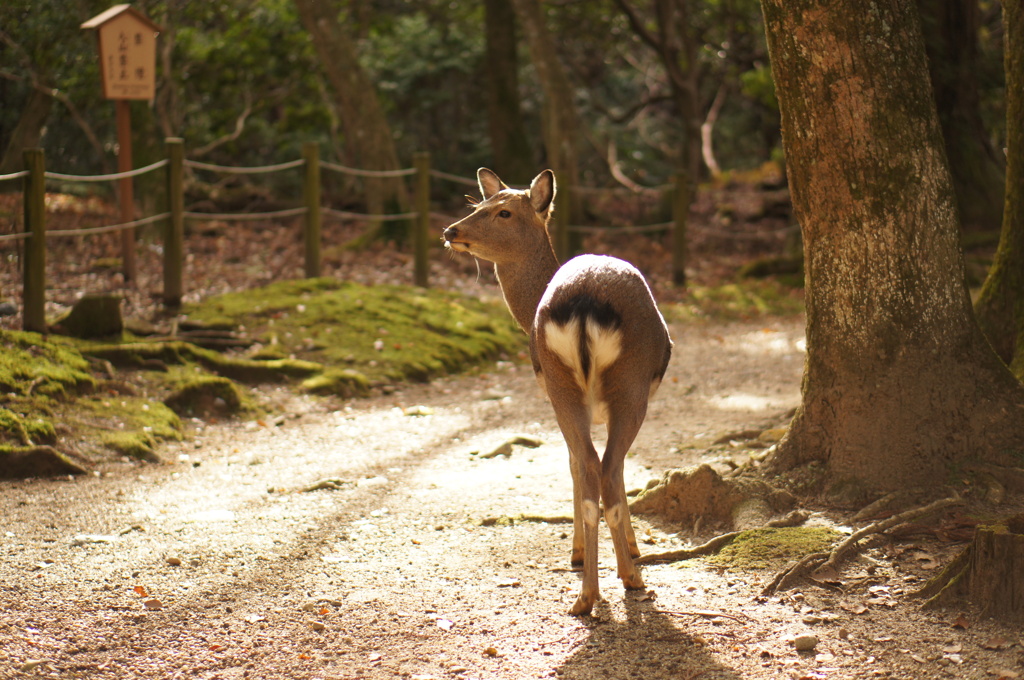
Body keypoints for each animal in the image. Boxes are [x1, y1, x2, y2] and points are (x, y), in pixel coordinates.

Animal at [440, 168, 671, 614]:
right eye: (479, 204)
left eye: (504, 211)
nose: (450, 230)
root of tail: (582, 301)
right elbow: (599, 469)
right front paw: (616, 552)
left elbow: (575, 466)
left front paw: (582, 555)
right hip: (629, 384)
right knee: (605, 469)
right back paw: (626, 579)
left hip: (563, 384)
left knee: (592, 467)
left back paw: (587, 595)